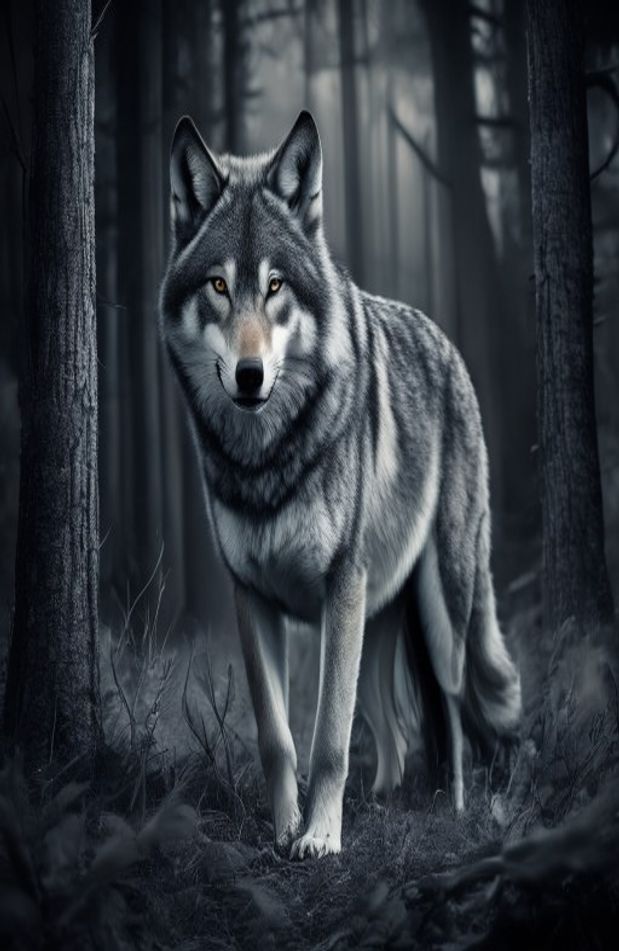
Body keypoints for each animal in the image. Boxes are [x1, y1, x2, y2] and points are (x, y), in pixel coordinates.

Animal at [160, 111, 521, 860]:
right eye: (217, 286)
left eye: (275, 286)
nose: (249, 376)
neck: (265, 461)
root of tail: (444, 341)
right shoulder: (254, 597)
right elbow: (279, 738)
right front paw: (283, 827)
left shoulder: (339, 586)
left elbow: (329, 735)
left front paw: (321, 838)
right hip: (381, 615)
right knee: (392, 722)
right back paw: (385, 797)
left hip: (440, 605)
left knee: (448, 704)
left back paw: (453, 808)